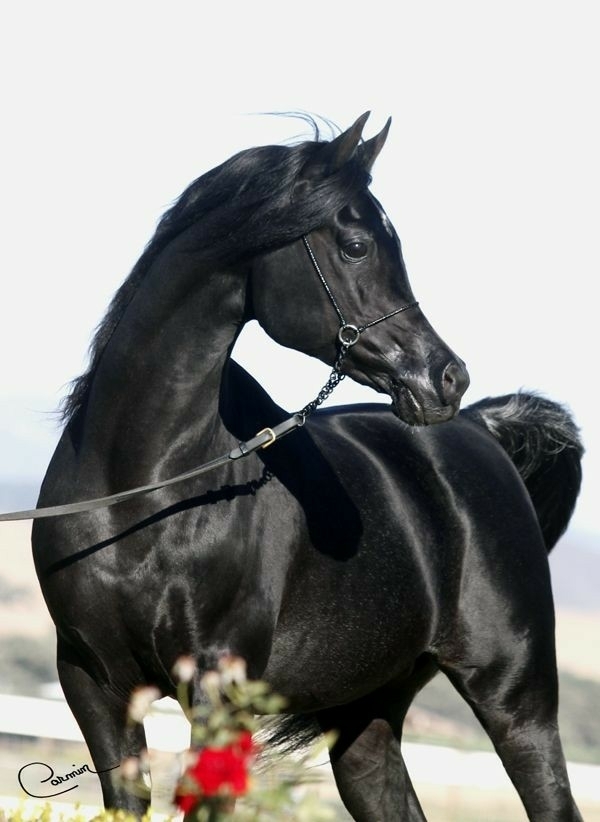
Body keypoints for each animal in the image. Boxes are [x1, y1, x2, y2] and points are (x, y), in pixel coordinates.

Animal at [31, 112, 584, 821]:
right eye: (356, 245)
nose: (447, 378)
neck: (142, 490)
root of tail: (481, 427)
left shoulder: (220, 693)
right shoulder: (93, 684)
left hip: (515, 696)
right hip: (366, 711)